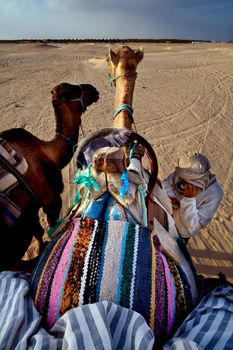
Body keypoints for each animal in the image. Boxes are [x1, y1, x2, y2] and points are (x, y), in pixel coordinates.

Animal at [0, 82, 99, 270]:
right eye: (72, 91)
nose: (94, 89)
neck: (48, 153)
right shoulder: (50, 202)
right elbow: (50, 230)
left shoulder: (31, 209)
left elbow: (38, 232)